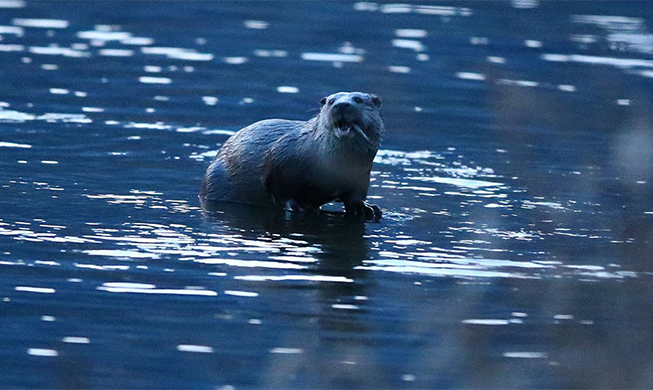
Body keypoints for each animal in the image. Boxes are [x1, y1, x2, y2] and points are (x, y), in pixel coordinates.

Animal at [199, 90, 382, 219]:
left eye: (358, 99)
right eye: (331, 101)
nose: (341, 105)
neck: (332, 167)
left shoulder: (361, 176)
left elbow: (355, 196)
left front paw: (365, 208)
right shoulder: (281, 161)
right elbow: (281, 190)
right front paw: (301, 206)